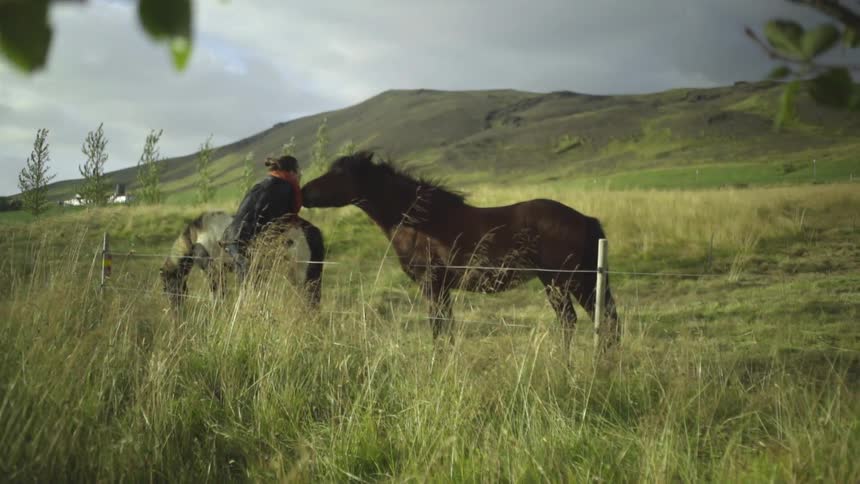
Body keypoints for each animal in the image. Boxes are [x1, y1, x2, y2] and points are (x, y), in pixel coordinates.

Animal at [300, 151, 619, 356]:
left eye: (339, 174)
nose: (304, 192)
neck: (420, 221)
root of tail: (585, 218)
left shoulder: (431, 284)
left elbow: (438, 327)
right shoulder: (441, 288)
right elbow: (446, 327)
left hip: (561, 281)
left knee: (572, 321)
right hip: (578, 281)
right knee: (607, 320)